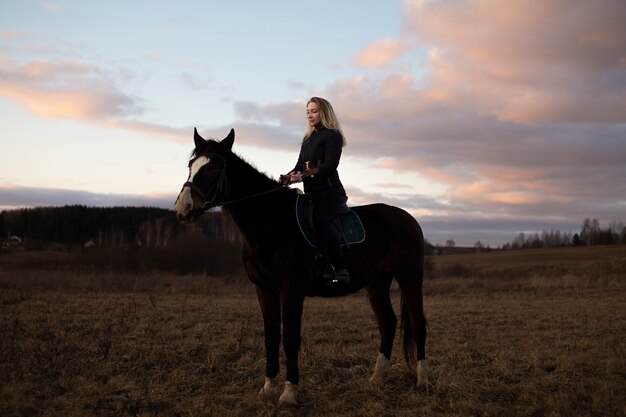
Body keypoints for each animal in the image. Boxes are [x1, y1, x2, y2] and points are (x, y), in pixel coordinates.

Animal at [173, 128, 426, 404]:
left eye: (214, 167)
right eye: (191, 165)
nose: (183, 208)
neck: (273, 223)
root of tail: (407, 218)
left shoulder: (291, 290)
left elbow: (291, 339)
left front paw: (289, 393)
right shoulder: (264, 290)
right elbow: (271, 338)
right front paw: (268, 388)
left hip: (410, 277)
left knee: (419, 322)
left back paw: (423, 380)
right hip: (377, 283)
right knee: (387, 322)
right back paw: (377, 378)